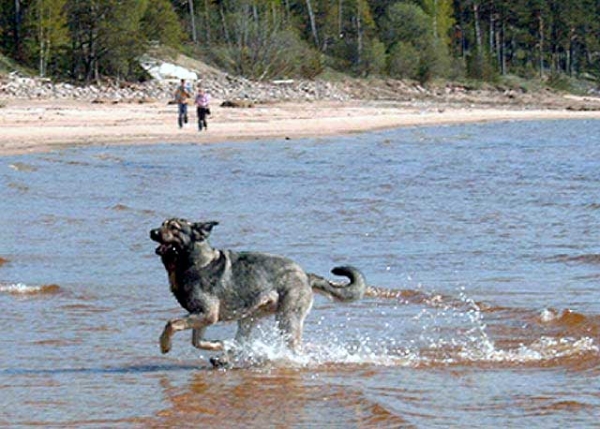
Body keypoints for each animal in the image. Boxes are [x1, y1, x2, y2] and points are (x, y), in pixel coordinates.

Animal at [150, 219, 366, 366]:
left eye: (174, 228)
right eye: (162, 224)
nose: (152, 231)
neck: (194, 262)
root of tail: (305, 275)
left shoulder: (207, 314)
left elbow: (171, 324)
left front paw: (164, 345)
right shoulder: (201, 316)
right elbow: (197, 341)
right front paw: (221, 345)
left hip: (286, 320)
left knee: (296, 348)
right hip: (249, 318)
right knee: (242, 342)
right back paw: (227, 357)